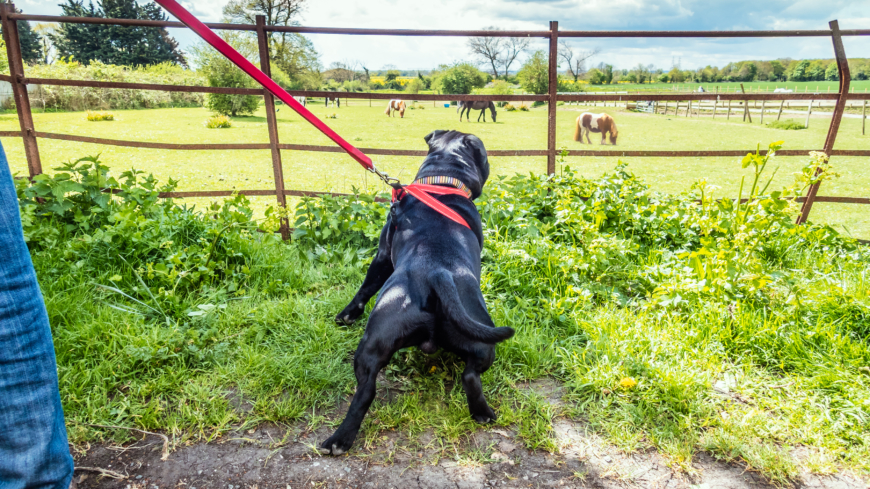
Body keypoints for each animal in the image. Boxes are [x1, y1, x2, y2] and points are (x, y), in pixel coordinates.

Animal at [322, 129, 516, 454]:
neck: (441, 182)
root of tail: (436, 273)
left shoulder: (382, 255)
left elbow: (365, 287)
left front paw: (347, 315)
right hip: (482, 340)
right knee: (470, 375)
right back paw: (482, 413)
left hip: (374, 342)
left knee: (365, 391)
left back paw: (339, 439)